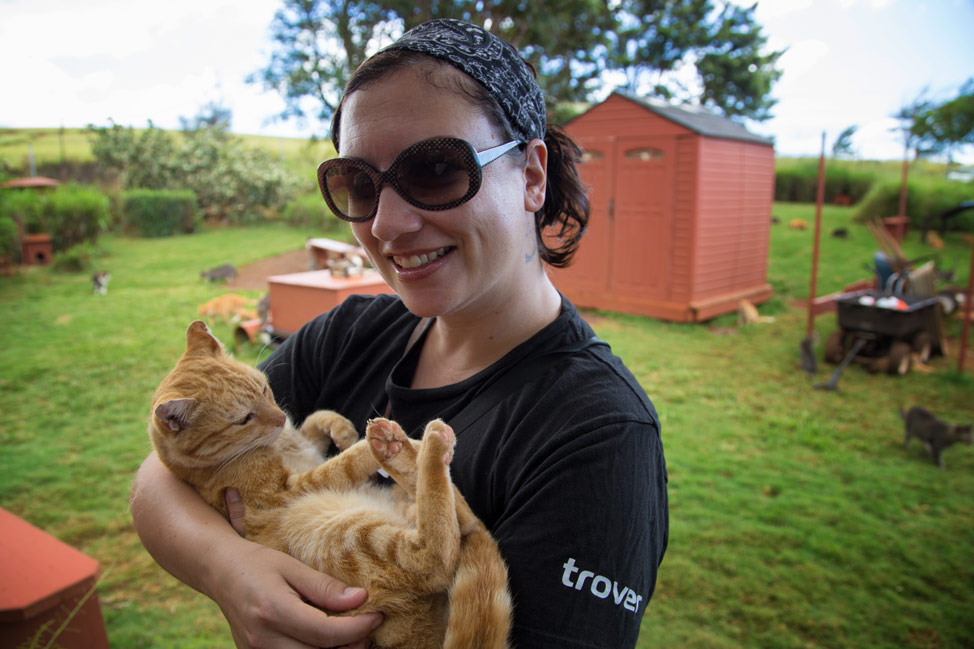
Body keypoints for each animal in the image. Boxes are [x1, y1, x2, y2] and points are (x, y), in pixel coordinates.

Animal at [149, 322, 516, 648]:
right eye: (243, 419)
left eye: (264, 389)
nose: (278, 418)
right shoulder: (290, 489)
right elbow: (341, 465)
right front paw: (363, 448)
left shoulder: (304, 444)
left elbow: (315, 421)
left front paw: (340, 429)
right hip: (346, 533)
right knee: (436, 556)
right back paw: (410, 447)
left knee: (464, 526)